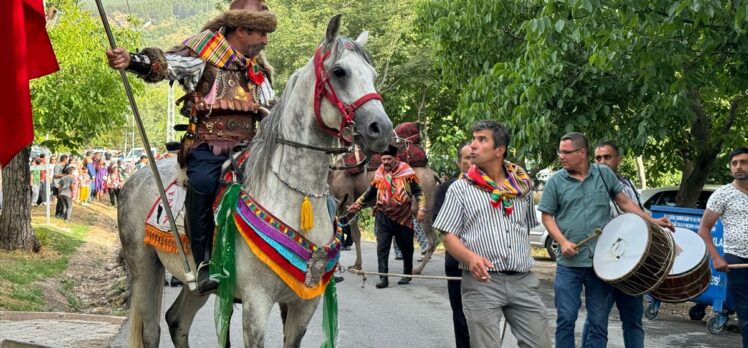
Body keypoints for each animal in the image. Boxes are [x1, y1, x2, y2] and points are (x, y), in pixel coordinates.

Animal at [118, 14, 392, 348]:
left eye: (373, 75)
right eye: (340, 72)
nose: (382, 130)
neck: (294, 197)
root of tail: (137, 176)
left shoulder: (303, 305)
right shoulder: (256, 303)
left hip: (193, 284)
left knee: (177, 321)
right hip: (145, 268)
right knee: (152, 330)